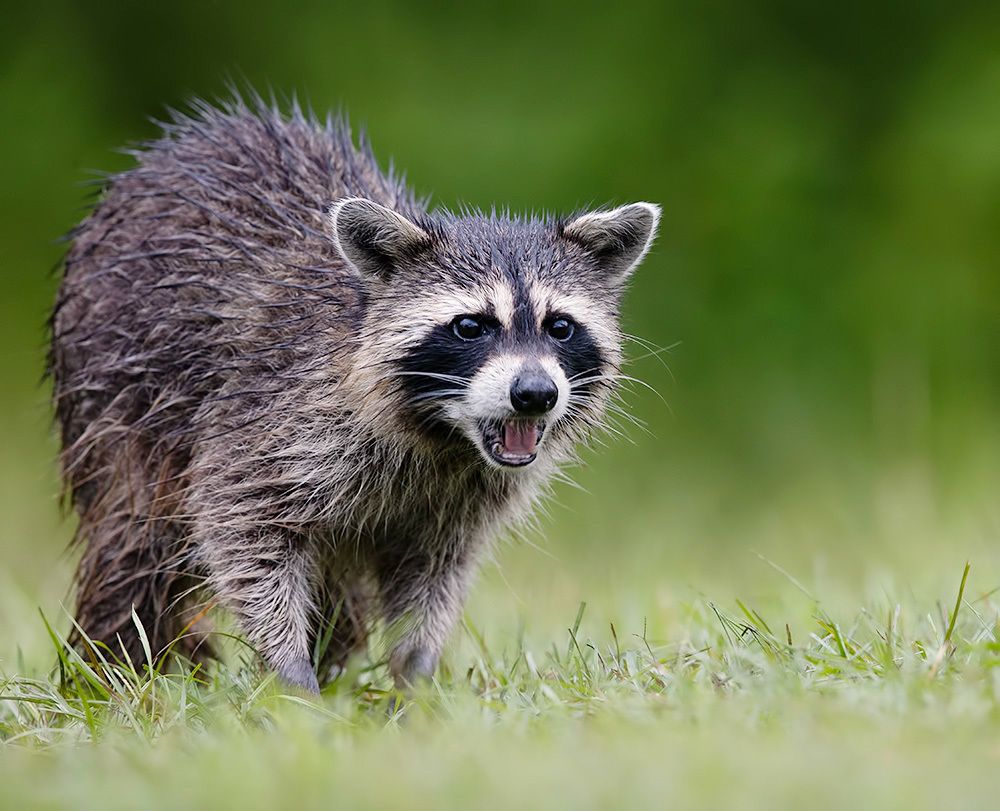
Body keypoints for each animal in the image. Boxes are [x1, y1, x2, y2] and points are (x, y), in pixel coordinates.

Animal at [50, 96, 659, 692]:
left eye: (560, 326)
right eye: (470, 326)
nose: (534, 394)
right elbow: (241, 527)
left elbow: (436, 574)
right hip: (119, 395)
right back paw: (115, 665)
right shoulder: (271, 415)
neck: (444, 434)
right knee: (136, 541)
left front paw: (416, 676)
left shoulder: (461, 498)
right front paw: (290, 673)